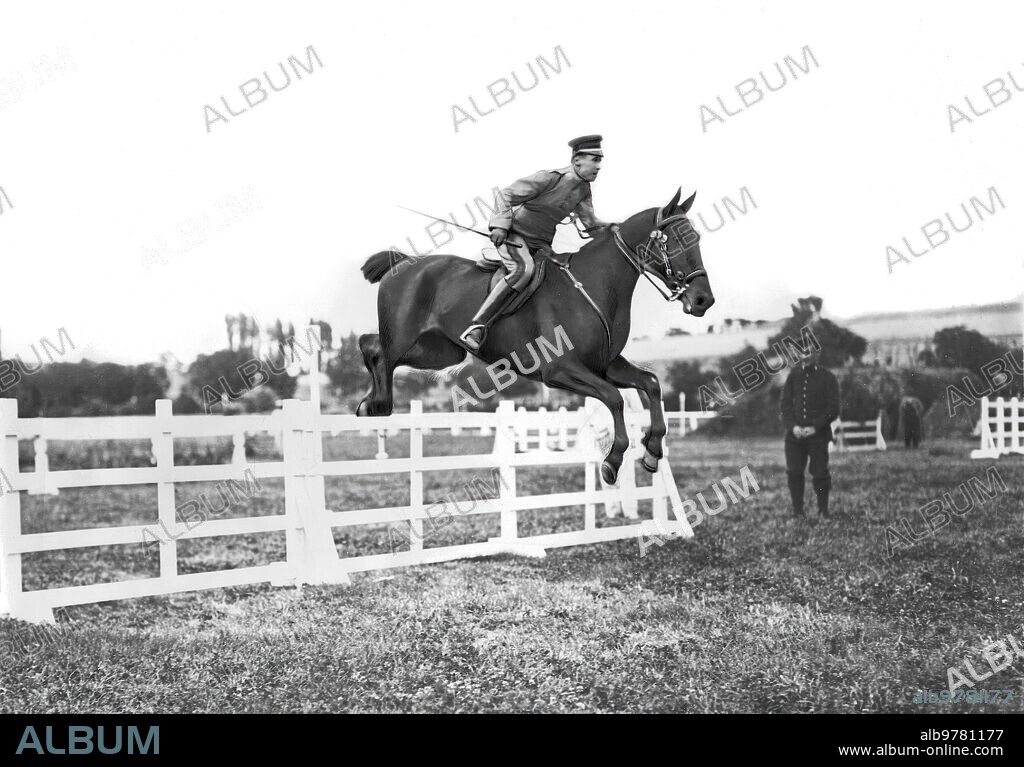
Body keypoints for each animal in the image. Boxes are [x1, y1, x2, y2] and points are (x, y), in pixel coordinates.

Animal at [356, 188, 715, 483]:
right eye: (674, 239)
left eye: (696, 237)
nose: (703, 300)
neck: (596, 284)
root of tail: (404, 262)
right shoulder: (560, 371)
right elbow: (613, 398)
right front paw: (613, 460)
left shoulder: (605, 365)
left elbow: (651, 384)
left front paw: (653, 451)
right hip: (406, 340)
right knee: (382, 355)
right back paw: (376, 403)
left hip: (439, 352)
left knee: (370, 345)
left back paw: (369, 405)